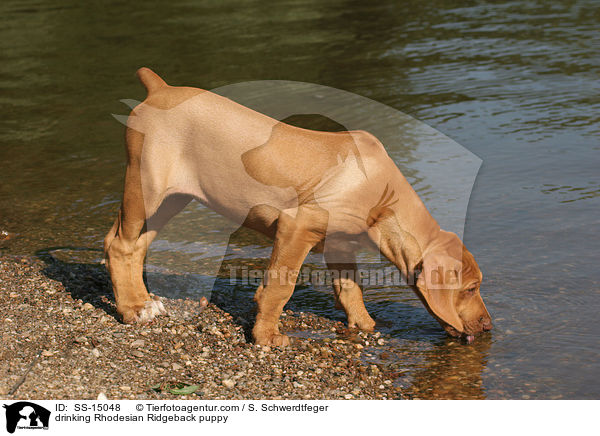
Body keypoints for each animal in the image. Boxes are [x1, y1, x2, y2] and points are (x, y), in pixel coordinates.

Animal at [104, 66, 492, 346]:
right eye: (471, 288)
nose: (488, 326)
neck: (384, 197)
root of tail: (159, 88)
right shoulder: (297, 226)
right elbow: (280, 287)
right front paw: (266, 337)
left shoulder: (340, 243)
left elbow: (350, 288)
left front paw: (365, 324)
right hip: (146, 184)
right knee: (119, 244)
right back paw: (130, 309)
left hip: (171, 198)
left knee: (135, 246)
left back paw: (144, 303)